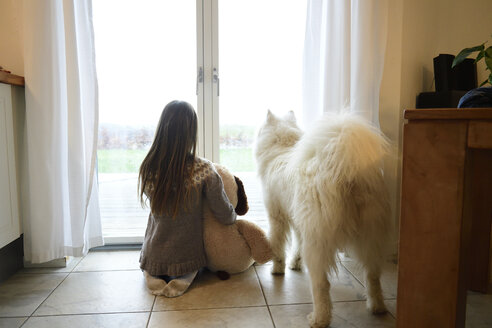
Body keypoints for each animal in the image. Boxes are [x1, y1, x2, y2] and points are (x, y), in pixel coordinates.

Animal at [256, 111, 390, 328]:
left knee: (322, 285)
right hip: (370, 237)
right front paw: (295, 264)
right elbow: (297, 246)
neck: (282, 148)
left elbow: (277, 246)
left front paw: (277, 269)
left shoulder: (277, 218)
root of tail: (348, 175)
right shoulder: (299, 224)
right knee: (373, 276)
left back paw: (318, 319)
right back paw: (377, 307)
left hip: (318, 243)